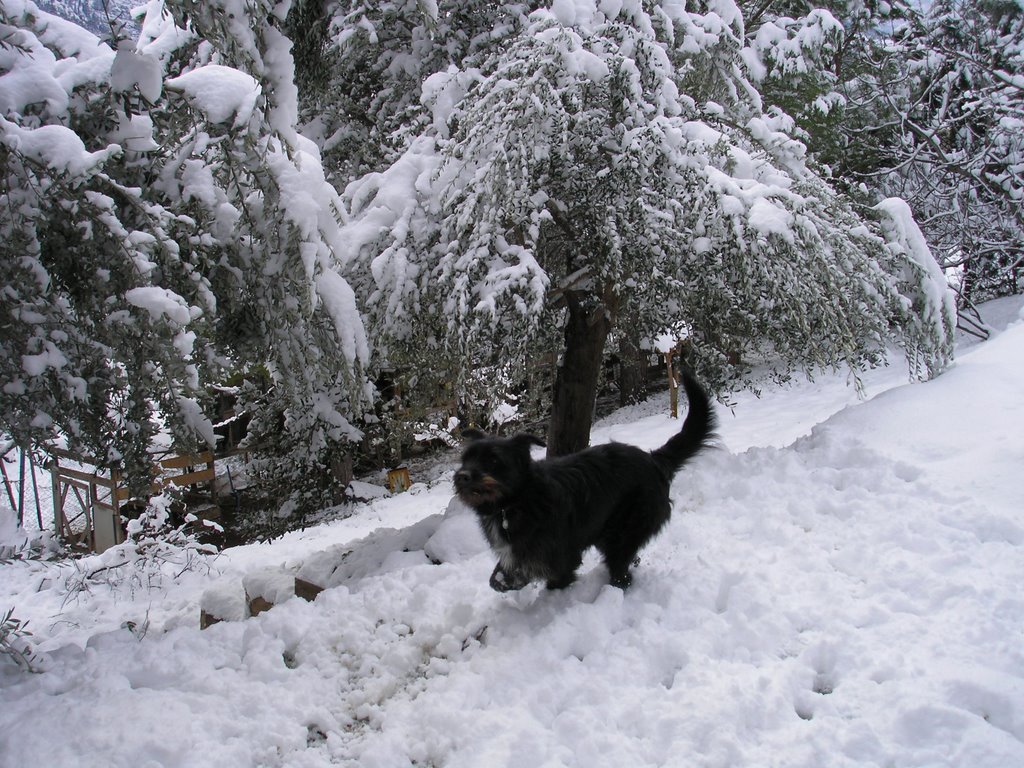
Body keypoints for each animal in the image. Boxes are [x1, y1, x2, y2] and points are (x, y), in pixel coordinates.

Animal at [452, 370, 716, 593]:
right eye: (466, 459)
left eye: (493, 460)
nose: (462, 476)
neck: (517, 501)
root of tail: (654, 459)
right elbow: (501, 574)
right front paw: (505, 579)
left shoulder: (561, 556)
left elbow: (555, 578)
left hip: (626, 529)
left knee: (621, 568)